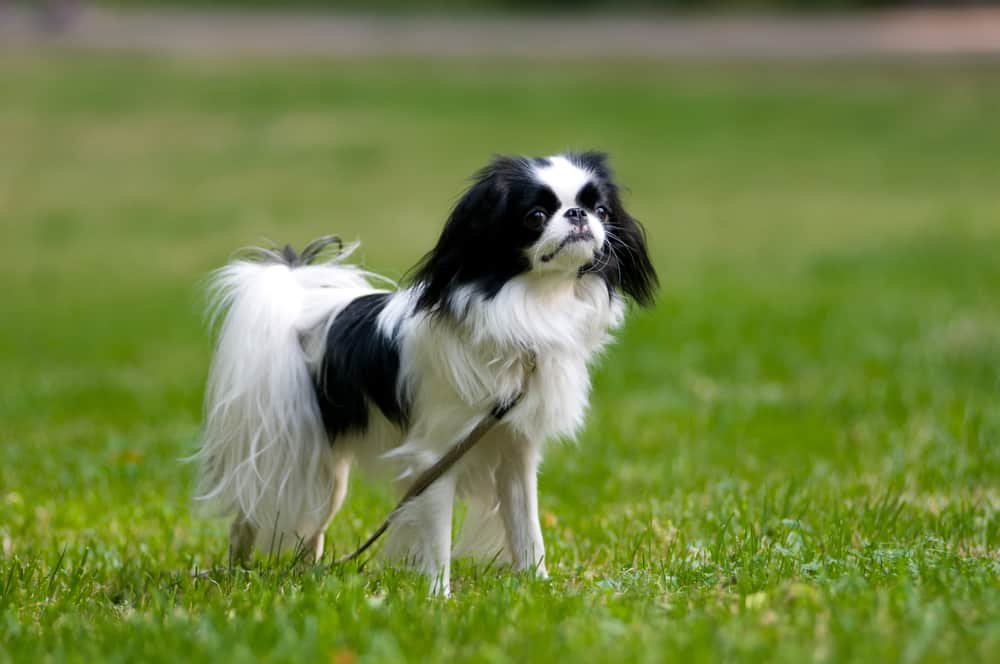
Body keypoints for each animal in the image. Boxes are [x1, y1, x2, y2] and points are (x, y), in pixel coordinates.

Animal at [197, 152, 656, 596]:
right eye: (535, 216)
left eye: (600, 209)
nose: (578, 214)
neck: (534, 304)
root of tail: (298, 305)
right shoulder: (436, 456)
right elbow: (438, 543)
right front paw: (439, 599)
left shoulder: (514, 453)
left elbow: (527, 530)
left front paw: (539, 587)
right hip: (295, 462)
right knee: (249, 518)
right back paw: (236, 575)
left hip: (327, 478)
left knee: (311, 530)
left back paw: (308, 574)